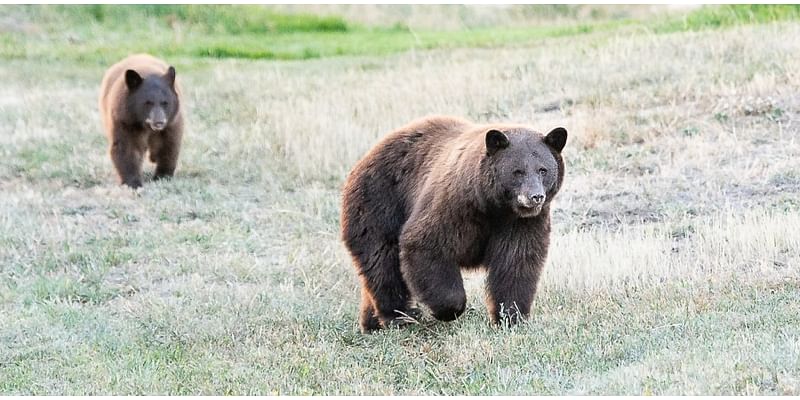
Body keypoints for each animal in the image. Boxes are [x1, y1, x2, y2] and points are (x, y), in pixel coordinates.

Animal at [98, 52, 184, 188]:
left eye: (165, 103)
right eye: (147, 103)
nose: (159, 122)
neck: (146, 126)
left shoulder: (172, 123)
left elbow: (169, 145)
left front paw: (162, 176)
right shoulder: (124, 121)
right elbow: (126, 147)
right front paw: (133, 182)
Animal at [340, 115, 564, 332]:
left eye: (543, 170)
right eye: (518, 171)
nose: (536, 197)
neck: (492, 206)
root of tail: (364, 159)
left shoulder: (520, 223)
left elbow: (517, 260)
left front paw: (511, 316)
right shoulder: (454, 204)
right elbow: (426, 244)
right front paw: (447, 310)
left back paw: (372, 323)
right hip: (378, 203)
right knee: (382, 262)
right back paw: (399, 317)